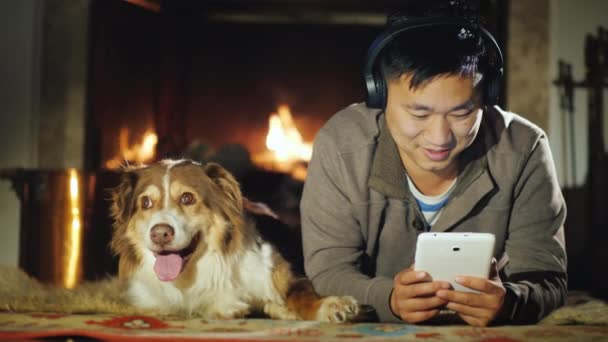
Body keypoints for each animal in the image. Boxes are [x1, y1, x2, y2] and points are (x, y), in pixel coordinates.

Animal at [107, 159, 358, 322]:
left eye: (187, 198)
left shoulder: (283, 274)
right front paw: (229, 306)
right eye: (146, 203)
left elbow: (301, 295)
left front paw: (331, 306)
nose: (160, 233)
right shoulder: (150, 301)